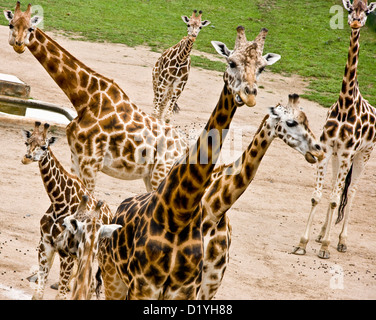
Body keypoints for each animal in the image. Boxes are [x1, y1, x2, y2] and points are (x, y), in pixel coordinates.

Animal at [21, 122, 112, 300]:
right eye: (27, 143)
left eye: (44, 146)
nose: (26, 158)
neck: (58, 202)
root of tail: (111, 214)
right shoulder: (45, 245)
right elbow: (38, 294)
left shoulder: (67, 254)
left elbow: (61, 295)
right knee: (89, 284)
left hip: (97, 256)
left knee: (92, 285)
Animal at [95, 25, 280, 300]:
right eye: (231, 62)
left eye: (261, 68)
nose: (249, 95)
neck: (180, 213)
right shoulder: (144, 286)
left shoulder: (187, 290)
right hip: (114, 278)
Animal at [292, 0, 376, 258]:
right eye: (350, 9)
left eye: (366, 11)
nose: (356, 22)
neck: (345, 104)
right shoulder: (328, 149)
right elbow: (318, 196)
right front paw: (303, 243)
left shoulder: (348, 153)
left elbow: (335, 198)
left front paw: (326, 247)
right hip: (340, 158)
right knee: (335, 191)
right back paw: (321, 234)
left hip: (363, 154)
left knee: (352, 192)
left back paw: (341, 241)